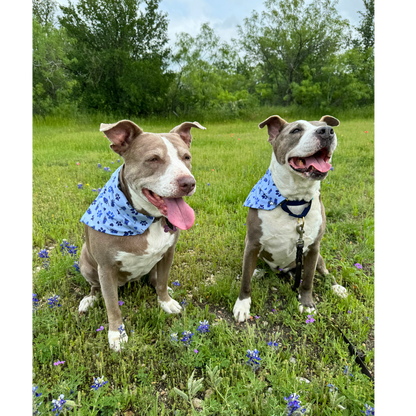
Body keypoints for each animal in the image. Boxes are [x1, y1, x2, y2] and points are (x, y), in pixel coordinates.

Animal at [77, 120, 206, 352]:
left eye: (186, 157)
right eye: (153, 159)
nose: (188, 183)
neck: (148, 219)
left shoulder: (168, 253)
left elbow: (162, 282)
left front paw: (166, 302)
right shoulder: (106, 268)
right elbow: (112, 305)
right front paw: (117, 335)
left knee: (155, 279)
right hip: (85, 260)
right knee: (95, 287)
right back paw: (89, 300)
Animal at [232, 114, 346, 322]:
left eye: (324, 126)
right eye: (296, 130)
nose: (327, 131)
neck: (294, 200)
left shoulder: (313, 248)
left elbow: (308, 280)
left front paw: (307, 303)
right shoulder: (252, 243)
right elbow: (245, 280)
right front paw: (242, 305)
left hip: (319, 258)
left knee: (325, 272)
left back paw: (336, 287)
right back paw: (257, 272)